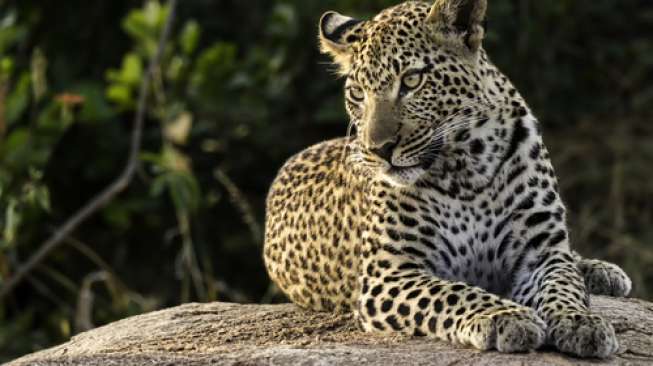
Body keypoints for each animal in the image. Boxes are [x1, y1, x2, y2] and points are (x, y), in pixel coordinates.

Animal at [262, 0, 628, 358]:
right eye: (358, 94)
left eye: (411, 80)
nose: (379, 149)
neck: (467, 168)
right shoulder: (389, 272)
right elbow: (452, 293)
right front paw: (505, 316)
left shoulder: (541, 252)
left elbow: (562, 285)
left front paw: (580, 321)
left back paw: (603, 272)